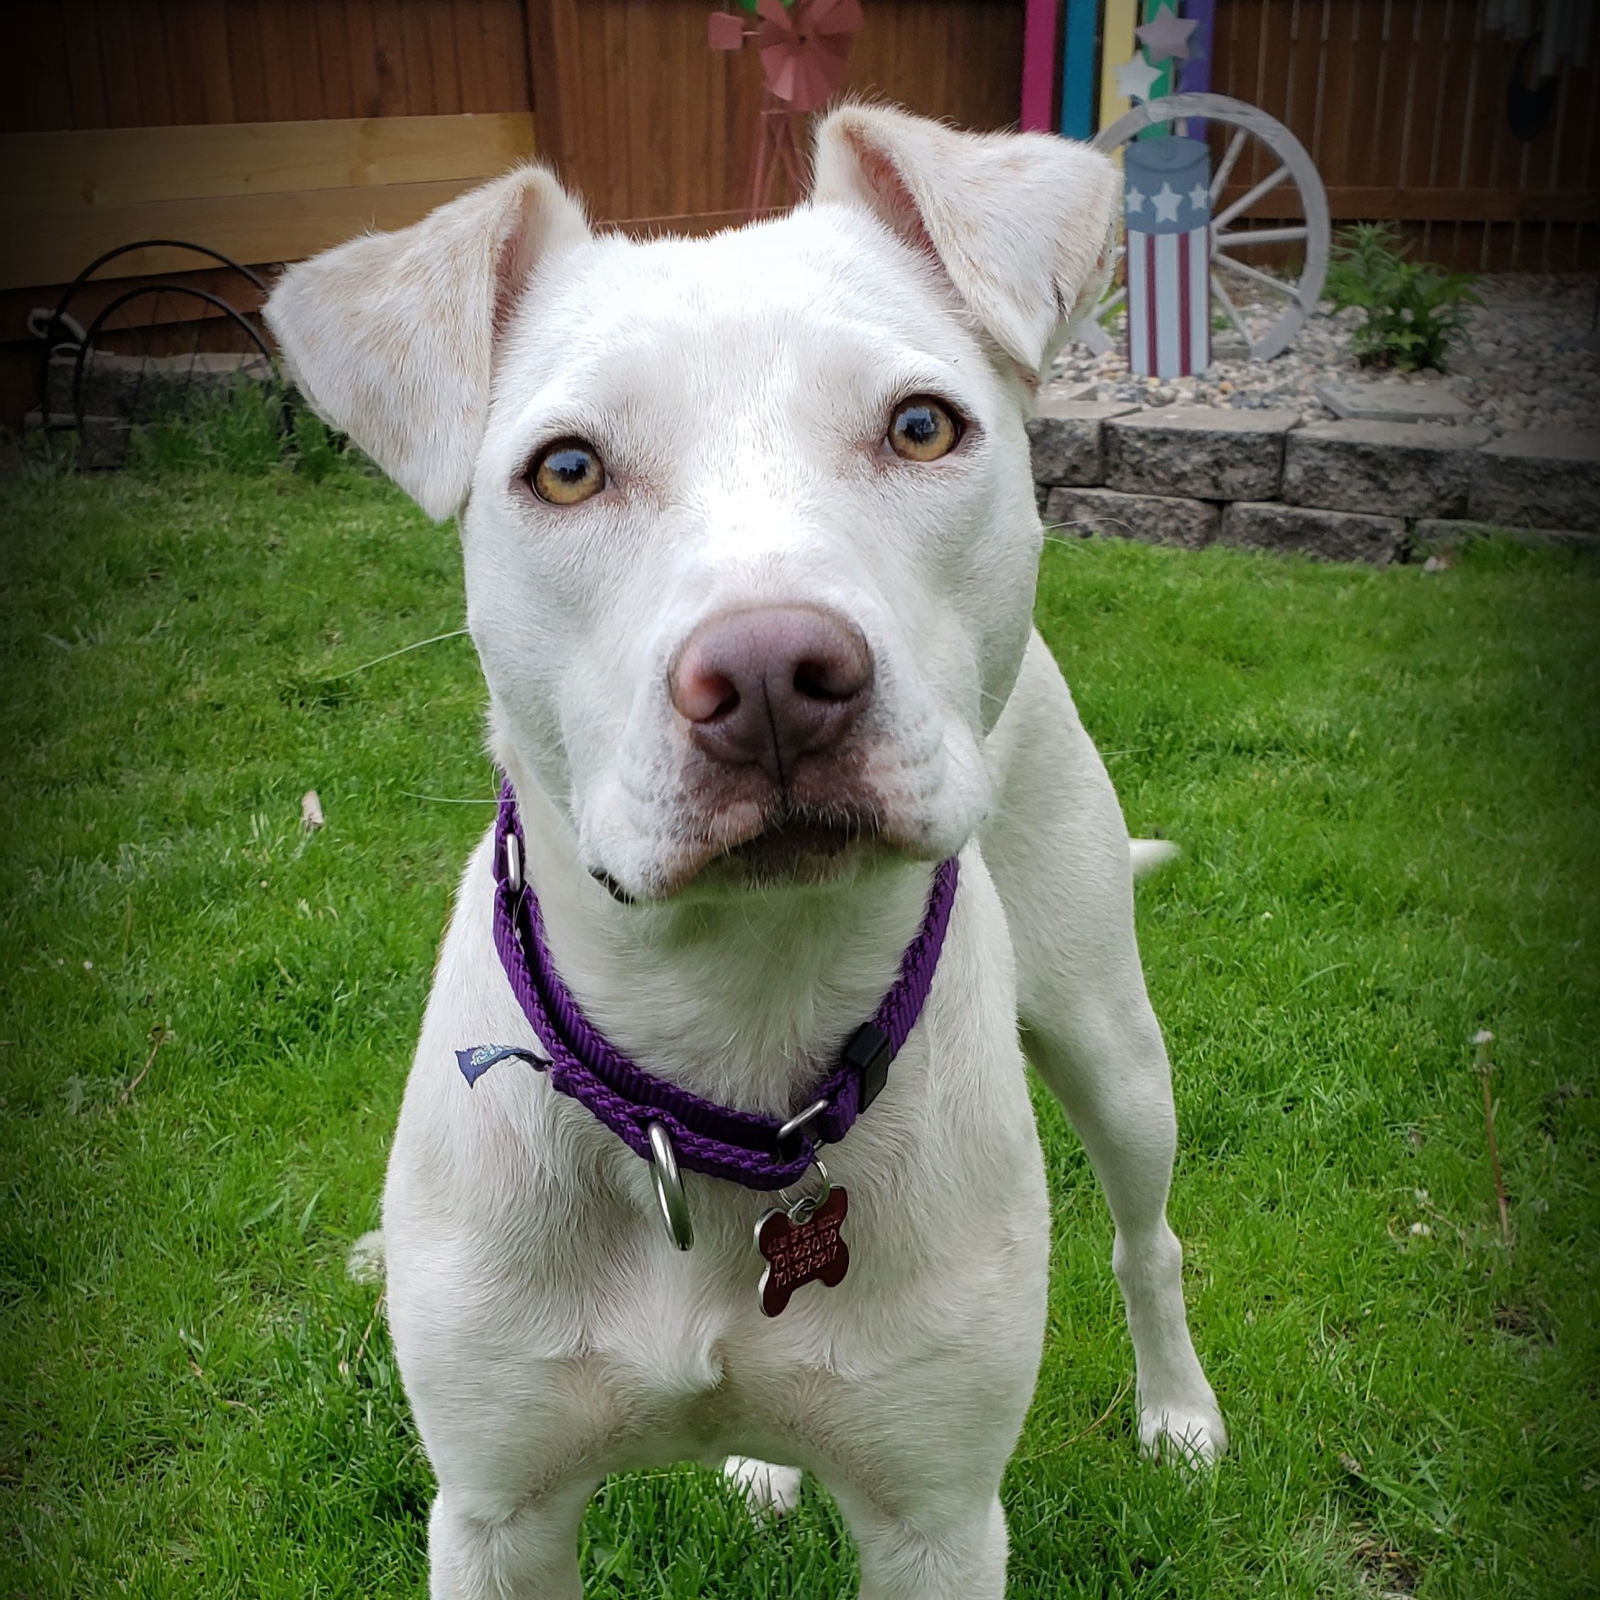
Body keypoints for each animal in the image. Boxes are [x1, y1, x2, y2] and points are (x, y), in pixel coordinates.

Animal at [268, 103, 1222, 1600]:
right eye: (566, 467)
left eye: (920, 425)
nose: (774, 675)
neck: (724, 1038)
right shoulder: (494, 1514)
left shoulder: (938, 1519)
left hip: (1108, 1039)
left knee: (1148, 1235)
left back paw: (1178, 1412)